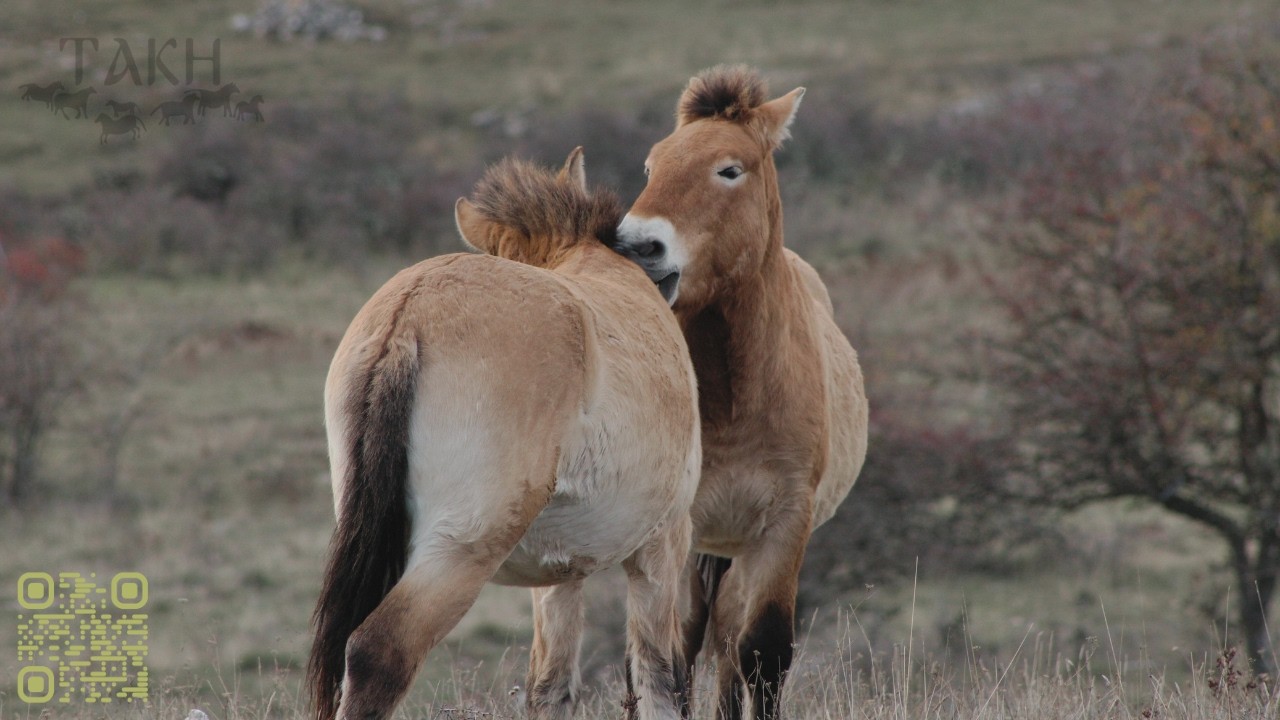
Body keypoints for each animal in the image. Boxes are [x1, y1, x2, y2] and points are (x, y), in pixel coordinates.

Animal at [308, 148, 701, 720]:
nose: (660, 261)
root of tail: (410, 314)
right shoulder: (664, 543)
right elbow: (661, 678)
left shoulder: (561, 572)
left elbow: (550, 686)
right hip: (459, 551)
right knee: (377, 650)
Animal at [612, 65, 869, 720]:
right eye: (650, 166)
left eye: (729, 169)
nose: (638, 247)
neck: (737, 398)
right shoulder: (677, 529)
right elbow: (668, 656)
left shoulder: (783, 526)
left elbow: (765, 652)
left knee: (730, 645)